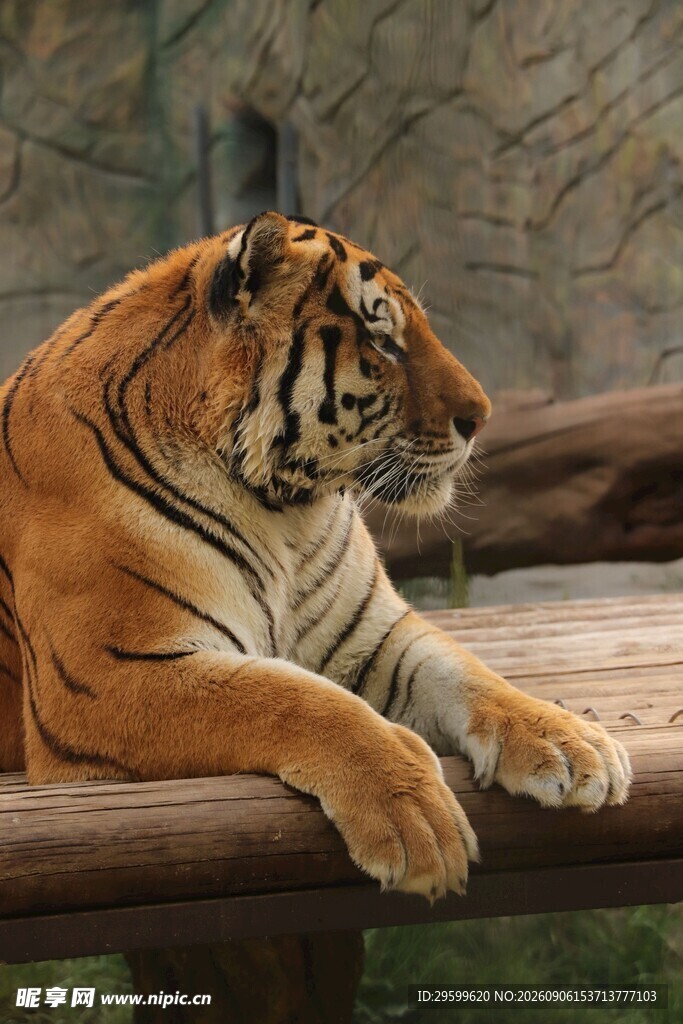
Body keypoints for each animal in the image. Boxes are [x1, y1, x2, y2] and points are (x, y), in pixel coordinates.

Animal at [0, 211, 630, 900]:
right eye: (383, 341)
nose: (482, 418)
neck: (285, 514)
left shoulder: (374, 635)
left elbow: (467, 671)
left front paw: (570, 743)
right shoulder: (105, 677)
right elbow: (295, 701)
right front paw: (417, 818)